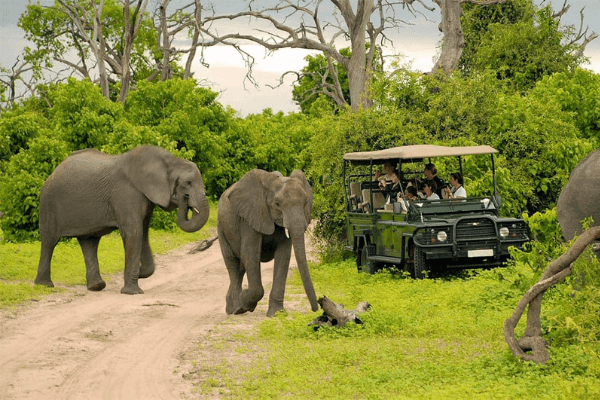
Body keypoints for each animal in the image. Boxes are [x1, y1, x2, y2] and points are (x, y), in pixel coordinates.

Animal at [34, 145, 211, 294]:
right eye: (187, 183)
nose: (185, 198)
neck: (169, 160)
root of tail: (53, 173)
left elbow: (143, 232)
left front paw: (140, 273)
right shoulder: (126, 193)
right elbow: (134, 233)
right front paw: (133, 292)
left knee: (89, 242)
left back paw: (96, 287)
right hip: (49, 203)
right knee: (50, 241)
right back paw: (44, 285)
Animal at [219, 168, 322, 316]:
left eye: (305, 202)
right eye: (277, 204)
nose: (316, 308)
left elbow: (283, 256)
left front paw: (276, 313)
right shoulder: (250, 217)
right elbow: (250, 253)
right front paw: (244, 304)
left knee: (241, 268)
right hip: (222, 228)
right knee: (233, 264)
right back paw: (234, 309)